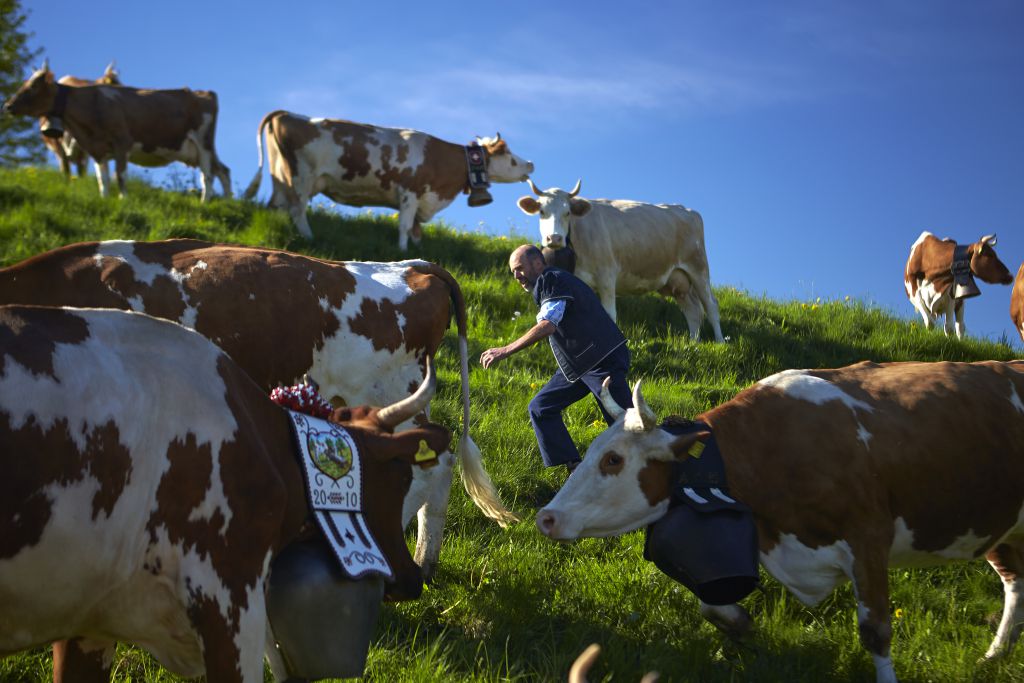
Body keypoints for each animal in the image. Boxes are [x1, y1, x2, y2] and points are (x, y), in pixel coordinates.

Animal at [3, 62, 231, 201]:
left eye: (33, 86)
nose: (8, 105)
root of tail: (204, 93)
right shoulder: (95, 149)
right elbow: (102, 179)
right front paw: (104, 199)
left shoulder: (123, 142)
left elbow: (119, 175)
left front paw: (123, 199)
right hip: (195, 150)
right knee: (223, 170)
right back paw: (227, 201)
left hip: (203, 142)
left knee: (207, 175)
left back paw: (204, 202)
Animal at [516, 179, 724, 342]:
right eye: (542, 211)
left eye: (568, 213)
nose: (554, 238)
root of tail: (686, 209)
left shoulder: (607, 275)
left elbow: (609, 314)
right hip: (677, 280)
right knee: (693, 310)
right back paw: (693, 343)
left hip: (698, 268)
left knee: (711, 306)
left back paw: (720, 342)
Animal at [536, 360, 1024, 679]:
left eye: (613, 460)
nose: (546, 518)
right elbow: (712, 603)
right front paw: (742, 625)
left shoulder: (869, 536)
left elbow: (876, 632)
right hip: (1003, 526)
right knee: (1014, 582)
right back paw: (995, 656)